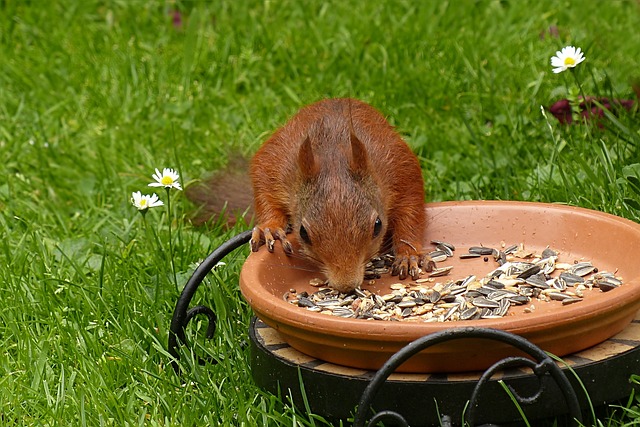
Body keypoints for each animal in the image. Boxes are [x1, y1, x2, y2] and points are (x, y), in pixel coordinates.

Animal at [248, 98, 432, 292]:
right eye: (303, 232)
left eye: (378, 225)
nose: (346, 285)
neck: (333, 154)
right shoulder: (277, 166)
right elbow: (264, 188)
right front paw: (269, 227)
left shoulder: (399, 170)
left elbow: (410, 213)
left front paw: (408, 254)